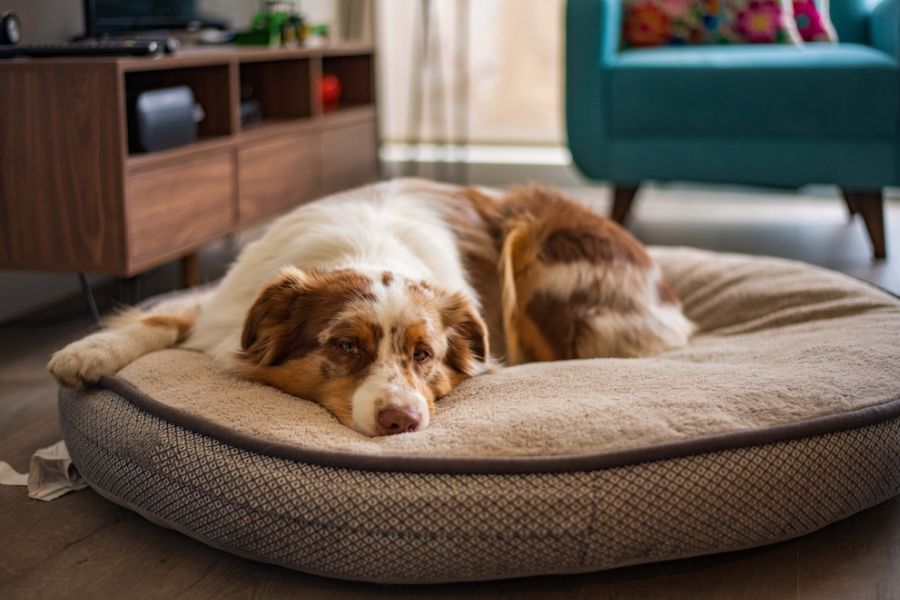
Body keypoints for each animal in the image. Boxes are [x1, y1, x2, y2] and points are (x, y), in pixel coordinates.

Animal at [49, 178, 692, 436]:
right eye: (345, 346)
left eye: (425, 354)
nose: (400, 422)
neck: (365, 246)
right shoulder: (226, 304)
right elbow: (159, 314)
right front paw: (86, 353)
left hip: (532, 247)